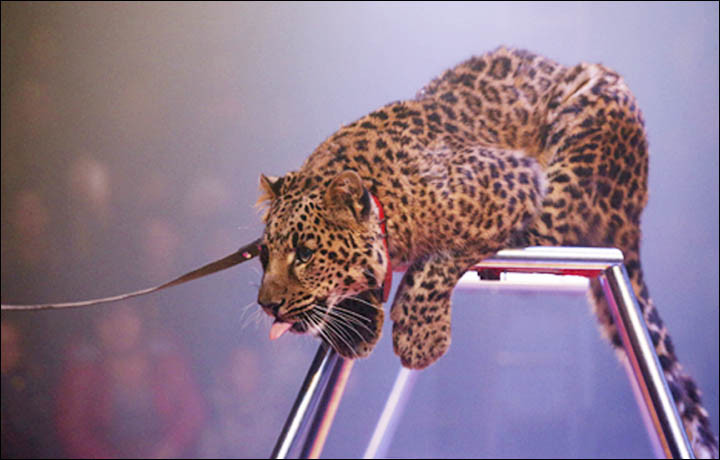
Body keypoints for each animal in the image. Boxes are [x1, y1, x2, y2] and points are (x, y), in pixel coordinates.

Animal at [255, 47, 718, 457]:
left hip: (586, 126)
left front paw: (419, 337)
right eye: (263, 256)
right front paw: (358, 324)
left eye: (304, 252)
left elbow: (440, 261)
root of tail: (636, 210)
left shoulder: (513, 181)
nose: (267, 305)